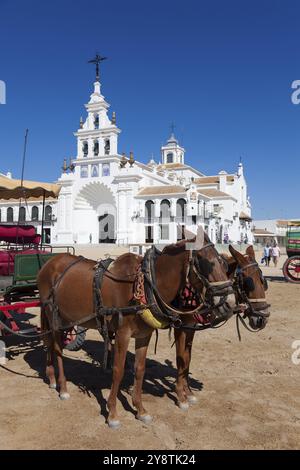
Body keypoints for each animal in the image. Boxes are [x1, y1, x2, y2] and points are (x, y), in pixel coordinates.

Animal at [38, 234, 234, 426]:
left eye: (223, 263)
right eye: (204, 261)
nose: (229, 303)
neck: (144, 284)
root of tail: (50, 262)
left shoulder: (144, 335)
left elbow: (140, 369)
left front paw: (140, 410)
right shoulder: (122, 334)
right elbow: (118, 370)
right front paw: (112, 413)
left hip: (65, 319)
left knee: (50, 344)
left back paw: (52, 380)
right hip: (53, 316)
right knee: (56, 348)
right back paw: (63, 388)